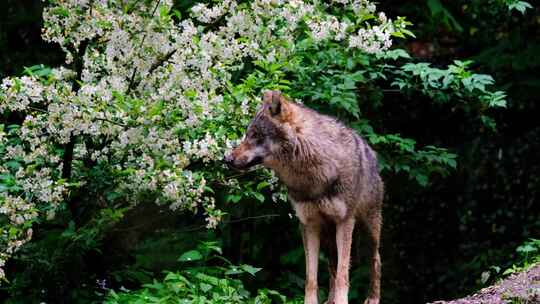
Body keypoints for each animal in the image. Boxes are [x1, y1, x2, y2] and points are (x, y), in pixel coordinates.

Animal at [224, 91, 384, 304]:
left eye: (256, 135)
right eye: (246, 134)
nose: (227, 159)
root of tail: (372, 154)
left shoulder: (344, 222)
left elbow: (343, 275)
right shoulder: (309, 225)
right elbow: (311, 278)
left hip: (367, 232)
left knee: (376, 260)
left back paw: (372, 298)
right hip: (329, 239)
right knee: (332, 268)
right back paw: (330, 301)